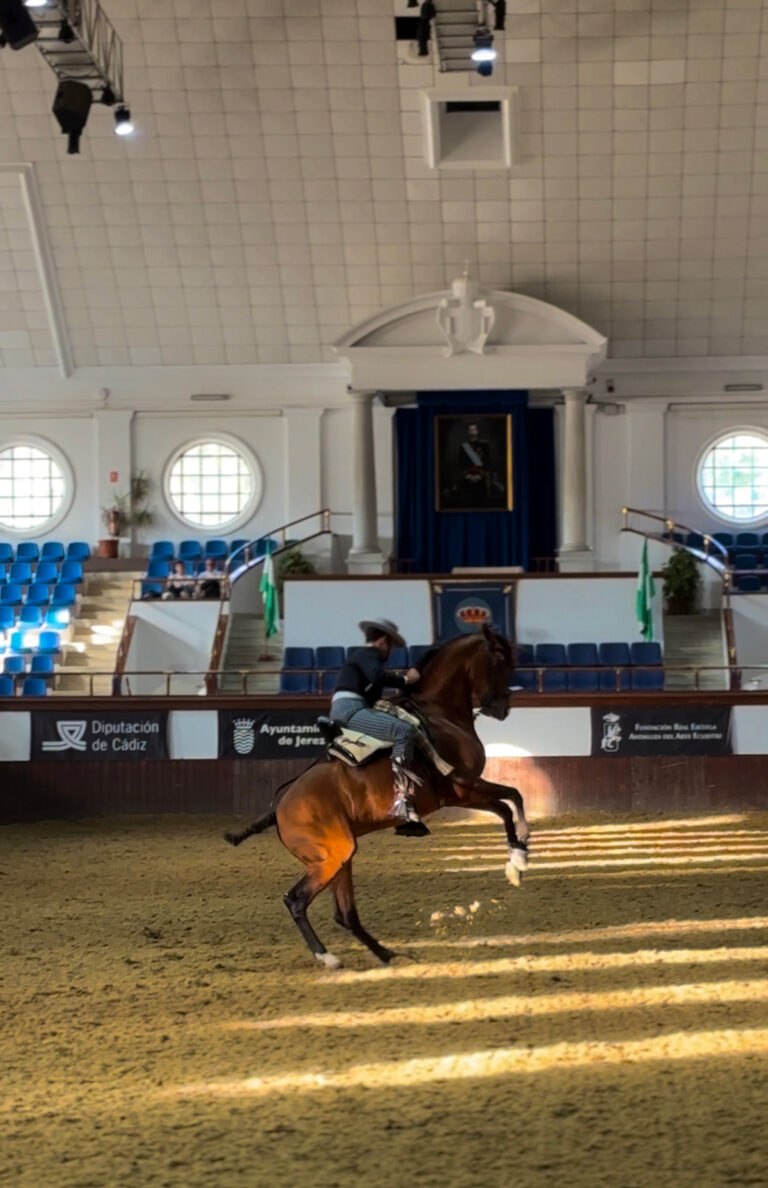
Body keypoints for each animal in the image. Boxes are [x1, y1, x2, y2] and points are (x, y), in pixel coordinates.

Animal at [225, 627, 532, 969]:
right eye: (500, 659)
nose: (503, 708)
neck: (441, 715)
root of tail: (279, 807)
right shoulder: (463, 788)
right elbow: (509, 803)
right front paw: (517, 860)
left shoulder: (463, 793)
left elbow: (511, 801)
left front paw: (519, 855)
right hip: (331, 857)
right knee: (296, 900)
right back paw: (327, 956)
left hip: (341, 857)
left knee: (345, 914)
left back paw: (386, 953)